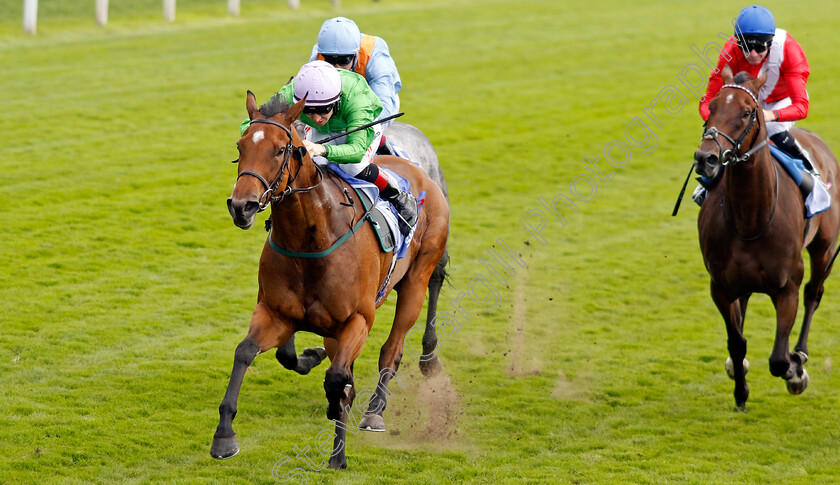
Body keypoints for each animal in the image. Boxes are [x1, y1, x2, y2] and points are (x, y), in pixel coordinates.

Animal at [210, 91, 450, 468]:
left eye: (281, 149)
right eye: (240, 144)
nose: (241, 206)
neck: (311, 240)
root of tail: (420, 172)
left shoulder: (358, 320)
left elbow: (338, 377)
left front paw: (338, 449)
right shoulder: (275, 313)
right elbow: (248, 352)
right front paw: (224, 436)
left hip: (416, 278)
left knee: (393, 348)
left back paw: (376, 408)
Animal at [696, 66, 840, 410]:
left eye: (747, 112)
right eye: (711, 107)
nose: (705, 158)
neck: (750, 219)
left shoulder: (787, 288)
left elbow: (778, 359)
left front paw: (794, 371)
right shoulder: (720, 287)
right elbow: (737, 343)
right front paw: (740, 392)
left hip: (825, 248)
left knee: (814, 293)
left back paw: (800, 356)